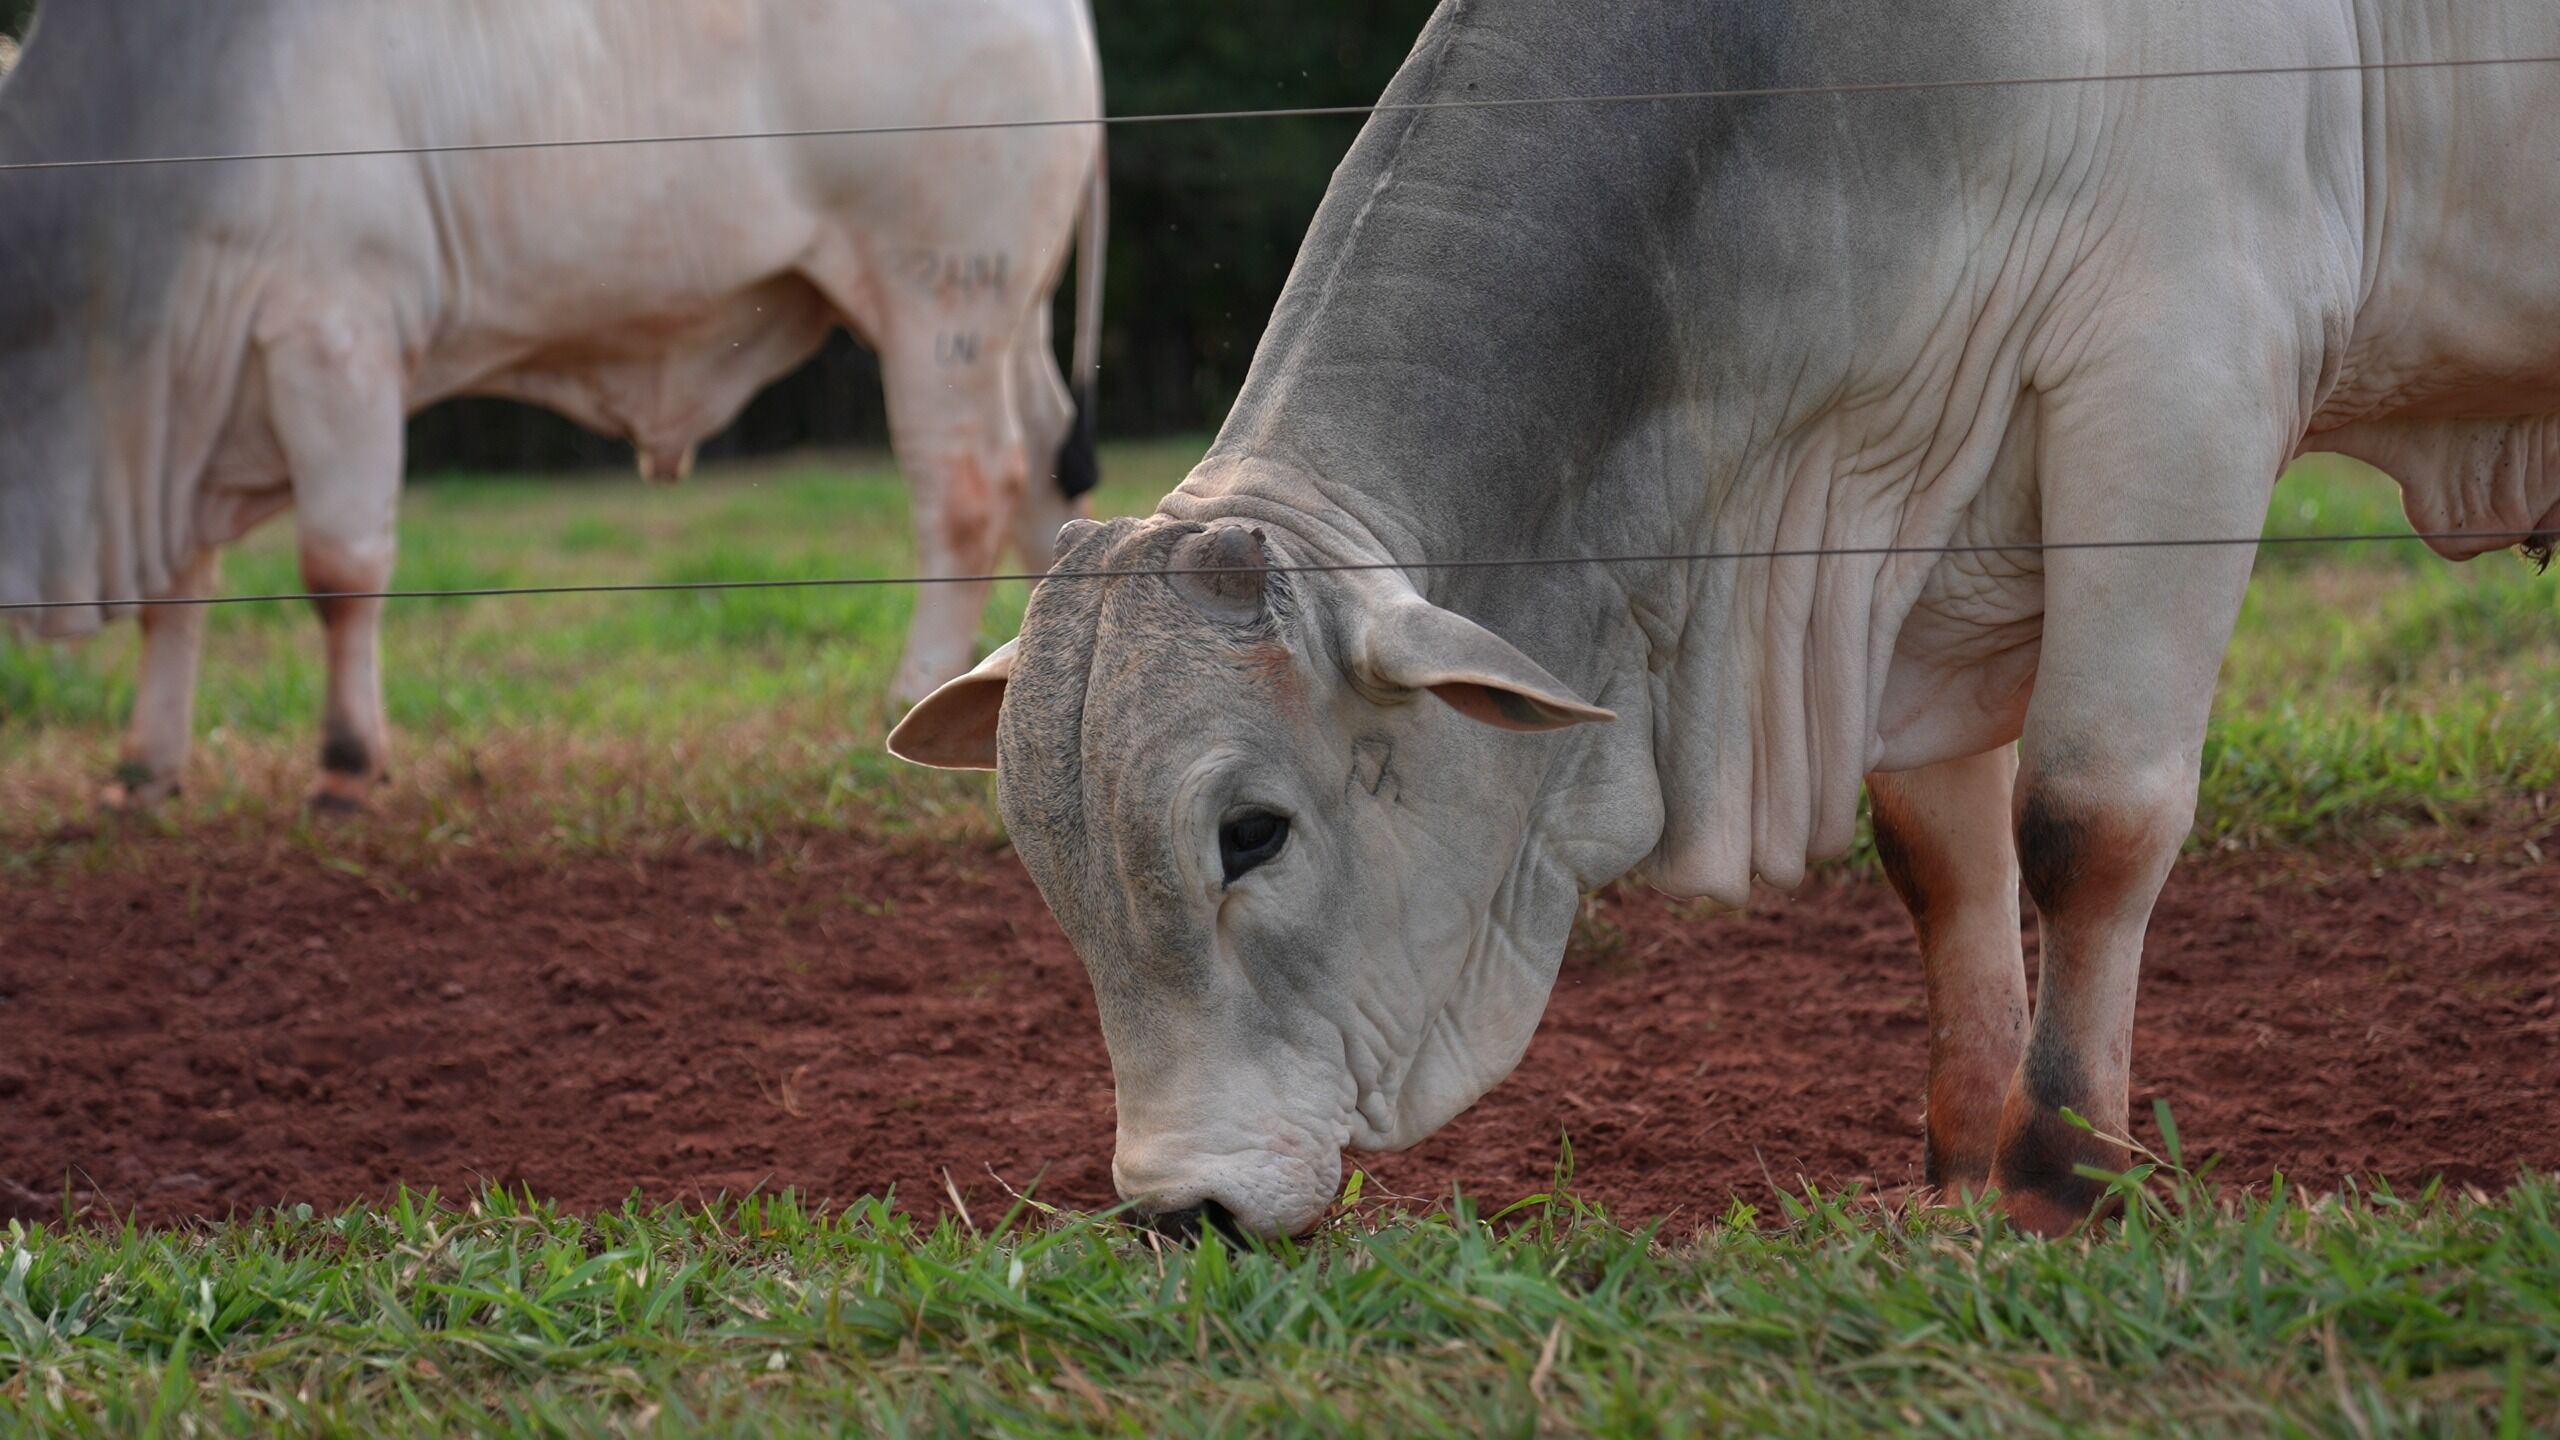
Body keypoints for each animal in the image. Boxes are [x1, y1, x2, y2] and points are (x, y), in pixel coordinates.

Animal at [0, 0, 1104, 810]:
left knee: (965, 486)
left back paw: (913, 685)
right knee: (1045, 486)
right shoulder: (184, 420)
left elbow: (339, 571)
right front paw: (145, 770)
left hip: (942, 296)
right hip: (1010, 319)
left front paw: (346, 765)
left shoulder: (333, 337)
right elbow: (177, 594)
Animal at [890, 0, 2560, 1239]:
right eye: (1042, 856)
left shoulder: (2183, 388)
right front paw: (1965, 1167)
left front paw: (2060, 1180)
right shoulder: (1905, 528)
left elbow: (2089, 821)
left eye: (1253, 833)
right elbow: (1941, 857)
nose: (1183, 1212)